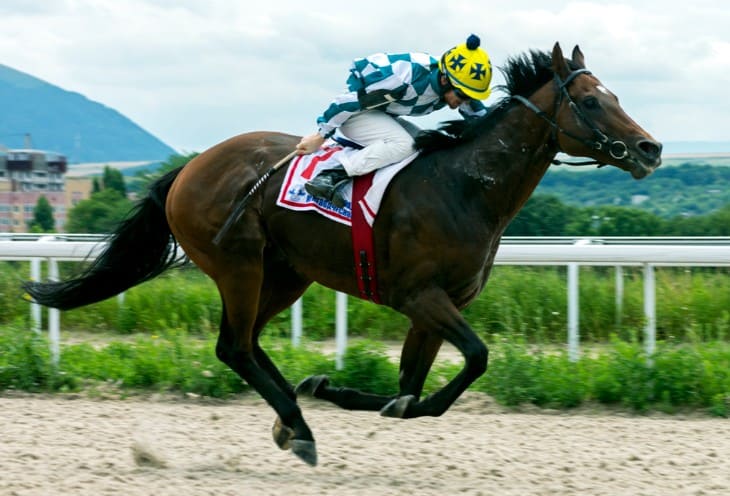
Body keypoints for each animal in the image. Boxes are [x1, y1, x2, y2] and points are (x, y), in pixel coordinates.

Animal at [22, 42, 660, 464]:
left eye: (614, 95)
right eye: (591, 102)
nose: (650, 149)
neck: (466, 187)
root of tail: (187, 169)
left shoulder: (437, 307)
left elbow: (414, 390)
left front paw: (336, 390)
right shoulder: (419, 296)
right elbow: (475, 359)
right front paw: (332, 395)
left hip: (286, 274)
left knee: (248, 344)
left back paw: (290, 415)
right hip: (238, 264)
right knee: (235, 346)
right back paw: (298, 426)